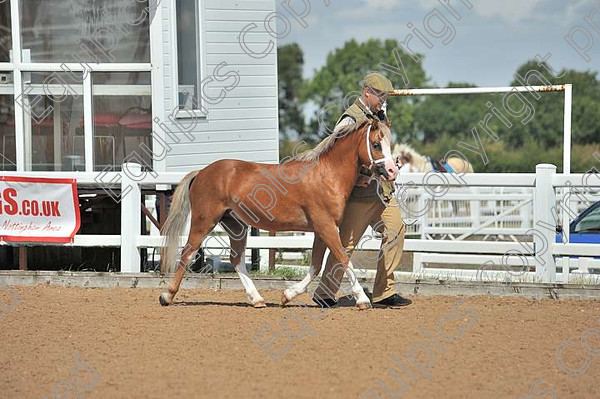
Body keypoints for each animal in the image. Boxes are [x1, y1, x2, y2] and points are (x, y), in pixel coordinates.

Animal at [158, 119, 398, 310]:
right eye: (376, 144)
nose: (392, 171)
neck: (327, 175)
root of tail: (202, 172)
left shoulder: (321, 231)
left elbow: (316, 267)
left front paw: (287, 295)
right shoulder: (326, 227)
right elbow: (342, 259)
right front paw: (362, 300)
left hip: (236, 226)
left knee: (236, 260)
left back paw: (257, 299)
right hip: (204, 221)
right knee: (187, 253)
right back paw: (166, 296)